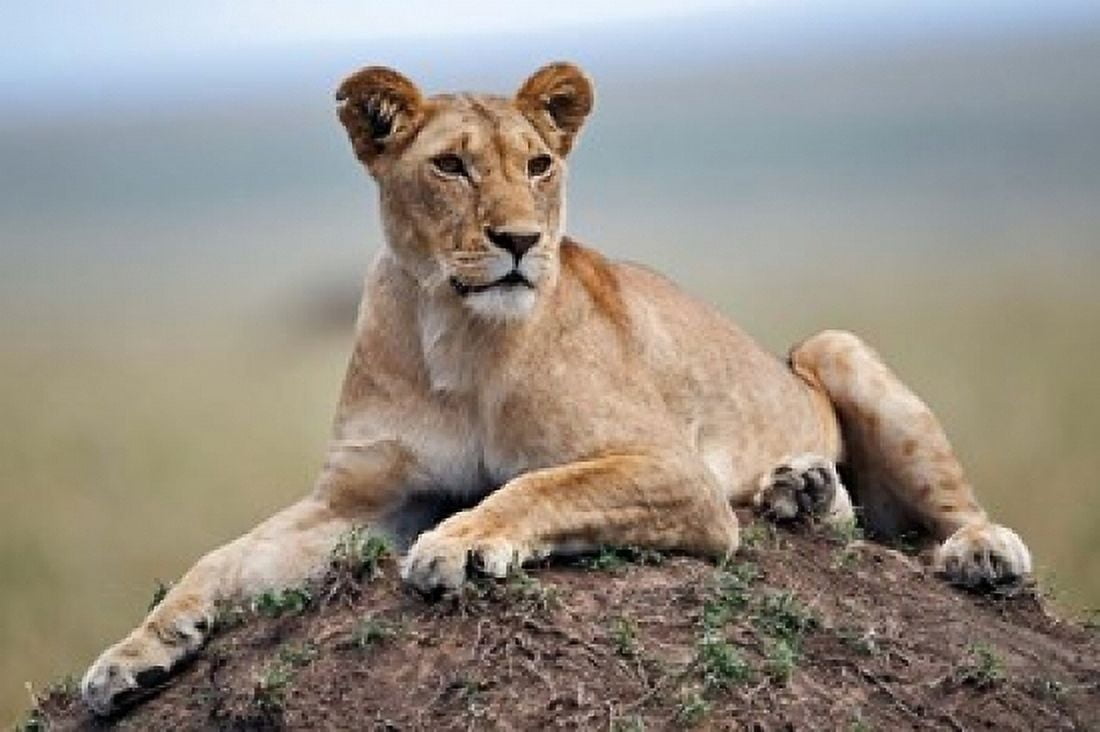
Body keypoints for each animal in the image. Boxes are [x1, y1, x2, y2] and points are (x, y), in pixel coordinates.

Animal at [81, 61, 1032, 715]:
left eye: (538, 164)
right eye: (452, 167)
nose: (519, 240)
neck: (455, 334)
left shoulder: (673, 470)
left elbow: (539, 485)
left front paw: (461, 544)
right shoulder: (353, 500)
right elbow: (223, 558)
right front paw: (132, 655)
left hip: (836, 348)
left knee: (940, 510)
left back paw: (978, 551)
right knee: (848, 517)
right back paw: (801, 490)